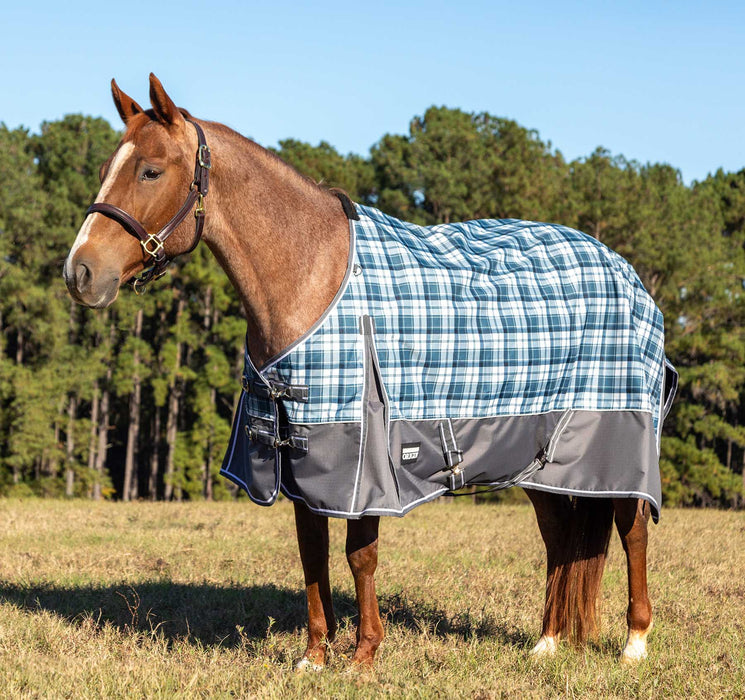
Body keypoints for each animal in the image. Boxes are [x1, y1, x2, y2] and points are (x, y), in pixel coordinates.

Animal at [64, 74, 673, 668]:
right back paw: (546, 643)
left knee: (632, 531)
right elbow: (312, 554)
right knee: (560, 536)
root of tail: (624, 270)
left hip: (619, 439)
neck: (313, 274)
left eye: (150, 169)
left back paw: (635, 644)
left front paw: (364, 654)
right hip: (535, 452)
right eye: (106, 167)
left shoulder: (363, 458)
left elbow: (360, 556)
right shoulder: (297, 454)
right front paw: (315, 656)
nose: (80, 273)